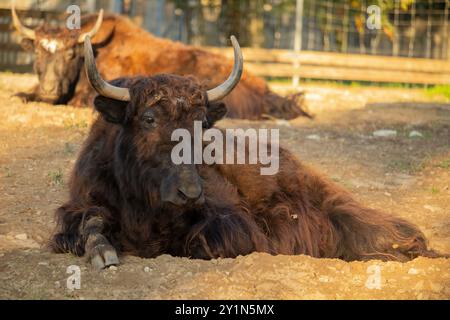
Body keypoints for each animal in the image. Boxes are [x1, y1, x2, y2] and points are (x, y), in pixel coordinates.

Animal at [50, 35, 442, 268]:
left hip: (331, 202)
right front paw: (103, 253)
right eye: (148, 118)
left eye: (202, 123)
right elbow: (88, 223)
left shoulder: (230, 221)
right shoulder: (81, 203)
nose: (190, 192)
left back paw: (408, 246)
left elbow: (210, 242)